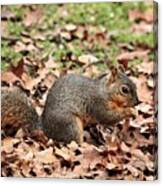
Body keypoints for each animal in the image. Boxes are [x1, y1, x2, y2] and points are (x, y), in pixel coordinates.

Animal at [0, 66, 139, 144]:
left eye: (135, 84)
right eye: (124, 90)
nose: (138, 102)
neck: (104, 91)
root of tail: (45, 127)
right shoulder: (97, 103)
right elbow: (107, 117)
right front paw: (130, 111)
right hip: (71, 125)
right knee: (74, 142)